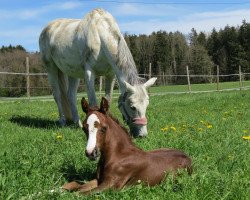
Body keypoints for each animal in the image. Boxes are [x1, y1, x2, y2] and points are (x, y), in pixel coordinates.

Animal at [39, 8, 156, 137]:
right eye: (132, 107)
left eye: (147, 105)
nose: (142, 135)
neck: (100, 36)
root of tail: (47, 28)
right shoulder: (89, 73)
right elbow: (93, 102)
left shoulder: (110, 75)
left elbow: (108, 100)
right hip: (51, 69)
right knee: (57, 95)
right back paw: (63, 121)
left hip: (72, 73)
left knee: (70, 96)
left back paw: (77, 123)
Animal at [62, 97, 191, 194]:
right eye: (84, 128)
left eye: (104, 128)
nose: (90, 153)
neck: (119, 155)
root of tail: (188, 157)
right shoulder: (99, 180)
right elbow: (74, 185)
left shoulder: (110, 185)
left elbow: (79, 193)